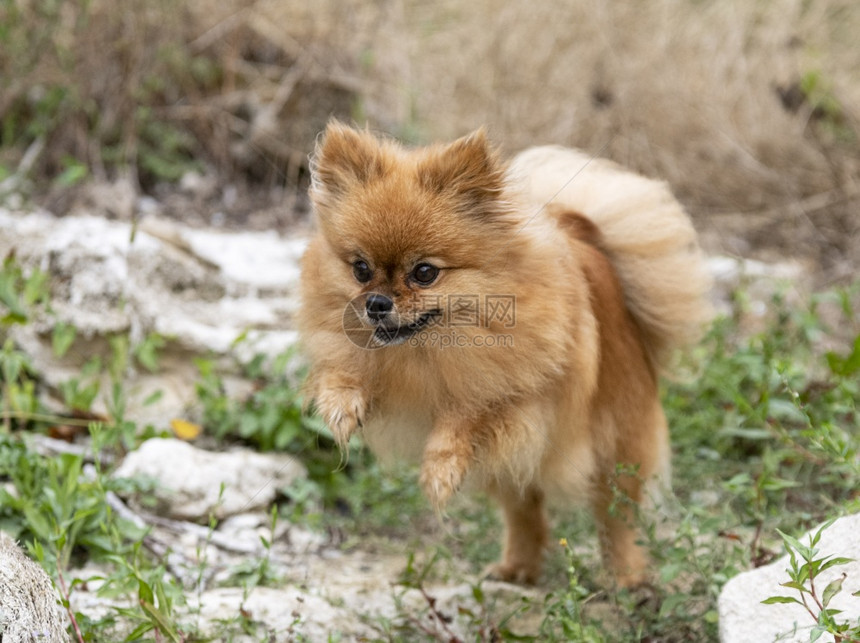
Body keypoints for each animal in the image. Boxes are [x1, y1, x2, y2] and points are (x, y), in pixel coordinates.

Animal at [298, 122, 712, 588]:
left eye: (424, 273)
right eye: (360, 269)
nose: (377, 303)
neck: (428, 351)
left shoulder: (516, 398)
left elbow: (466, 414)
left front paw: (439, 471)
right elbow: (342, 370)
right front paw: (341, 407)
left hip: (614, 446)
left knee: (616, 516)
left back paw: (625, 576)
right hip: (513, 467)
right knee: (524, 512)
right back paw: (517, 568)